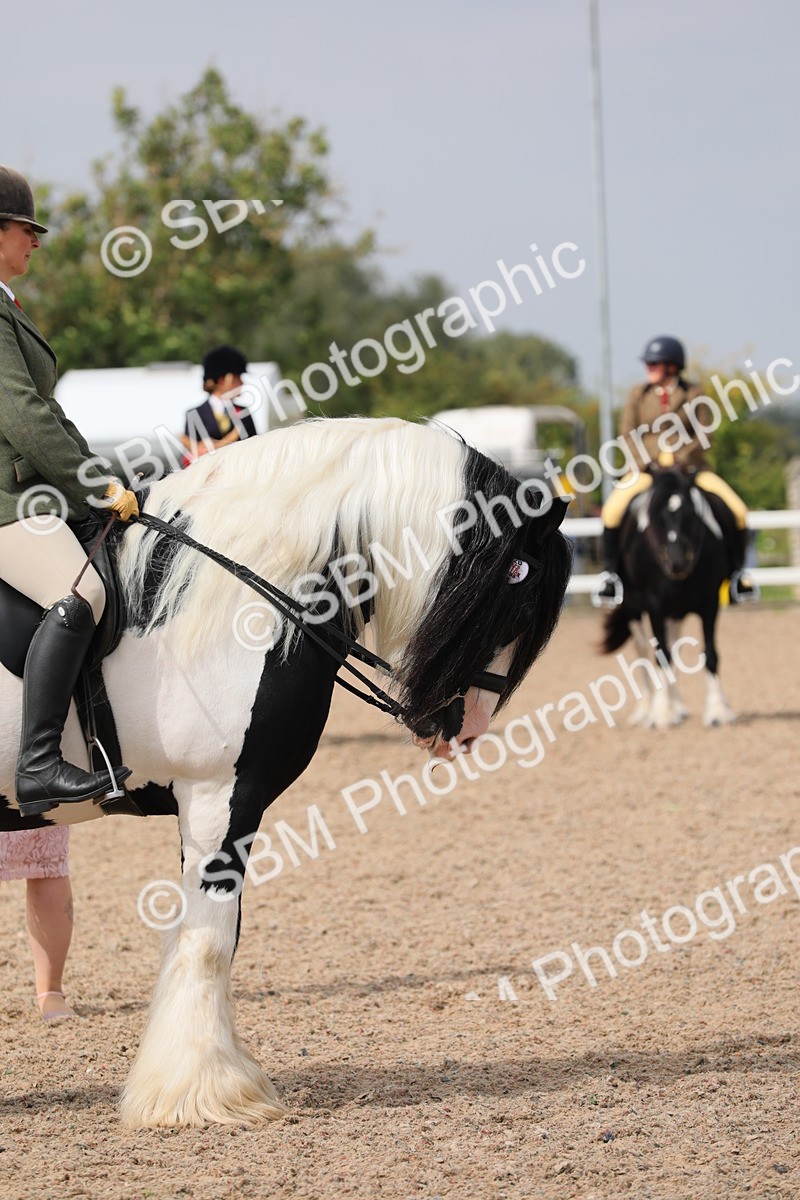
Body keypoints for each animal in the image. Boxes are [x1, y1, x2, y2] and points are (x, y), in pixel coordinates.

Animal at [0, 416, 572, 1128]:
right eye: (515, 594)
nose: (466, 730)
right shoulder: (221, 795)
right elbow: (210, 941)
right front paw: (201, 1092)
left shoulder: (215, 807)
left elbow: (212, 937)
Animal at [601, 465, 740, 728]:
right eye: (657, 517)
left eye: (692, 513)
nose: (677, 562)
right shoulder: (655, 605)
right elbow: (660, 655)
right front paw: (661, 714)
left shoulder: (710, 603)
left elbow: (710, 653)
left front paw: (717, 711)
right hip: (634, 608)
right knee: (644, 651)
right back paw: (646, 709)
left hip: (676, 613)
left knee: (673, 647)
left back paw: (677, 705)